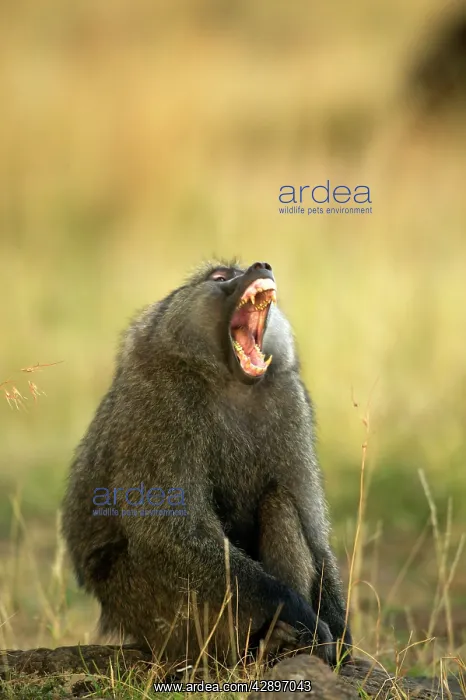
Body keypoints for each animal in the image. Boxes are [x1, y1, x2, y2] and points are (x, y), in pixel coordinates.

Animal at [61, 260, 352, 667]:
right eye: (220, 277)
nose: (262, 265)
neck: (228, 379)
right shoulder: (161, 405)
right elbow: (170, 534)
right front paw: (296, 611)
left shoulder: (289, 399)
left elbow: (314, 534)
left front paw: (339, 628)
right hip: (155, 614)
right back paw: (273, 639)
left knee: (279, 503)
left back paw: (280, 644)